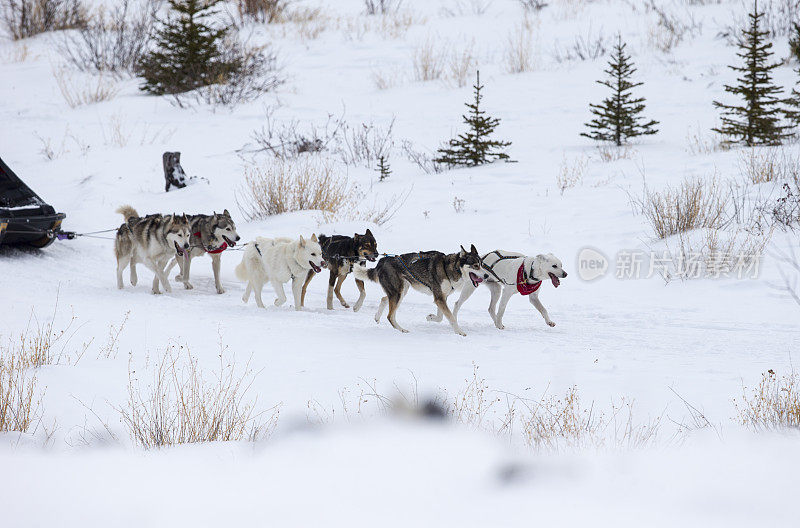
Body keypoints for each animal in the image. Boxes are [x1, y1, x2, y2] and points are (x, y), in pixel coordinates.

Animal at [354, 245, 482, 336]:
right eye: (475, 265)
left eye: (481, 264)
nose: (485, 276)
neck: (449, 267)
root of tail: (382, 262)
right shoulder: (439, 298)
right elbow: (451, 317)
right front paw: (459, 332)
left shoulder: (441, 297)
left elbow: (441, 317)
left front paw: (431, 317)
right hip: (398, 293)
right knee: (390, 316)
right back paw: (401, 330)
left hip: (401, 291)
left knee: (384, 299)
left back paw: (377, 316)